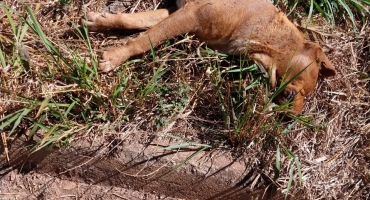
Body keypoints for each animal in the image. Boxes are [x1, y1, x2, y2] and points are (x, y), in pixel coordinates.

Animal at [82, 0, 336, 115]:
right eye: (304, 85)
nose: (292, 118)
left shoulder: (178, 14)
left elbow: (133, 21)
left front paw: (100, 22)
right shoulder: (190, 15)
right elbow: (145, 40)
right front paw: (116, 56)